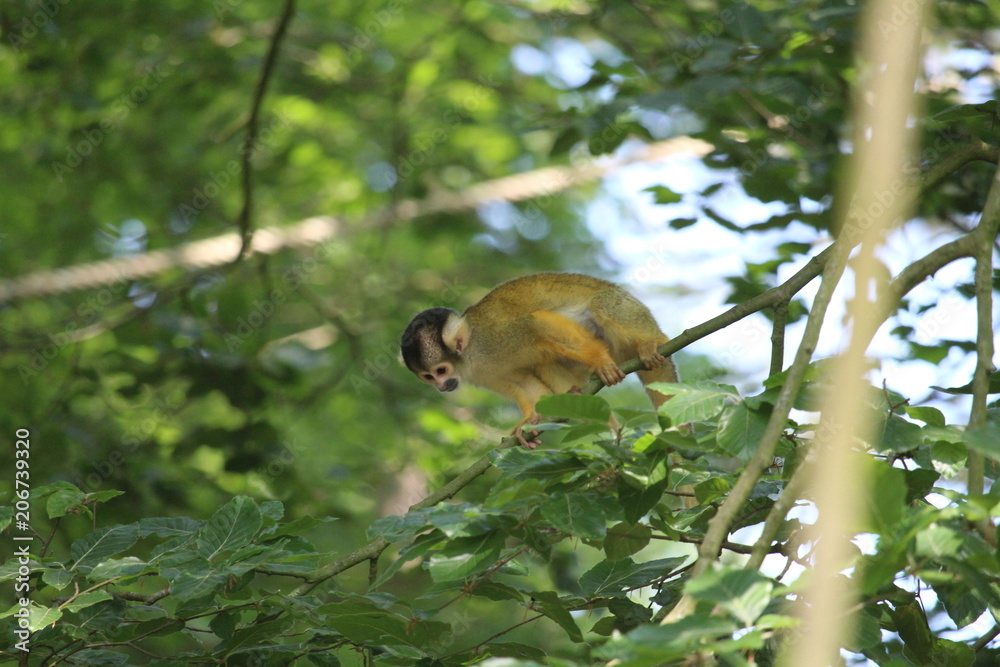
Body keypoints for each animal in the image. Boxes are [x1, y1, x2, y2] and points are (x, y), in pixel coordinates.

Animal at [400, 273, 679, 448]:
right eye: (429, 376)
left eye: (441, 370)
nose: (441, 386)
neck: (469, 355)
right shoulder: (482, 372)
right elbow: (522, 382)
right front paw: (529, 421)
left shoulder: (495, 339)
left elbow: (535, 323)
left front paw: (600, 361)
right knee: (546, 363)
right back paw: (578, 401)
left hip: (631, 315)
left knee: (602, 304)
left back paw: (650, 342)